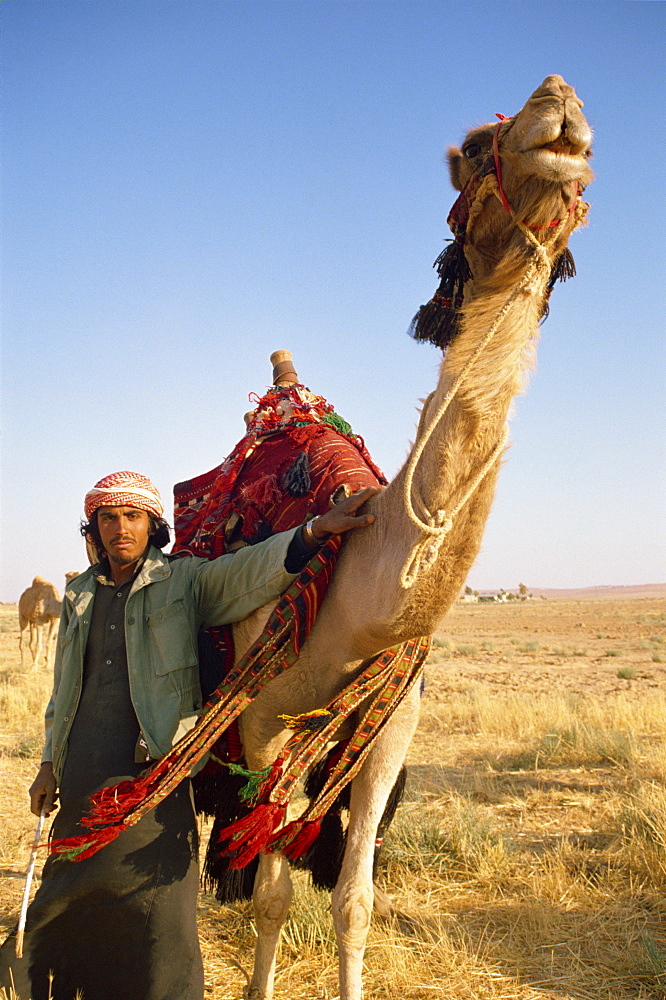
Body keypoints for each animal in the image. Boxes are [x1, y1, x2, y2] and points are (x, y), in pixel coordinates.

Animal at [223, 74, 592, 996]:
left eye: (590, 145)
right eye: (476, 143)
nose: (560, 101)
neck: (356, 597)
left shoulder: (391, 723)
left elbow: (354, 900)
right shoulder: (260, 721)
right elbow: (272, 893)